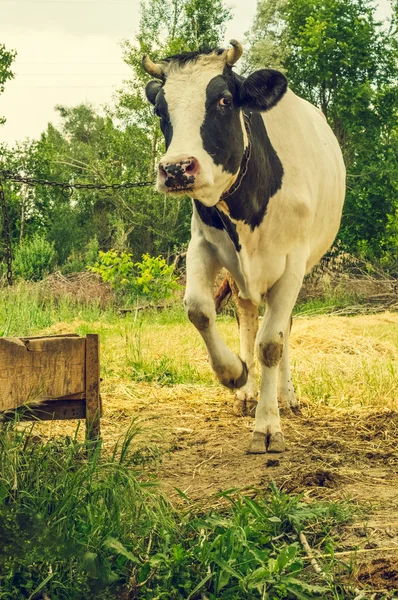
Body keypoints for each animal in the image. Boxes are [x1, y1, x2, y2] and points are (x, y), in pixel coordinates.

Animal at [142, 39, 346, 452]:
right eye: (160, 110)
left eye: (223, 100)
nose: (176, 169)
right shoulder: (203, 245)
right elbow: (199, 310)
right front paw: (235, 373)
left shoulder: (292, 263)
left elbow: (272, 343)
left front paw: (268, 425)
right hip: (240, 277)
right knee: (248, 318)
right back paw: (248, 390)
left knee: (282, 327)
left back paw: (286, 396)